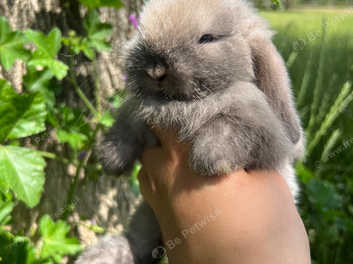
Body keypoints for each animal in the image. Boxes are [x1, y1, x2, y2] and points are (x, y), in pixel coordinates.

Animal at [75, 0, 304, 264]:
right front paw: (111, 160)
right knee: (138, 242)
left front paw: (210, 159)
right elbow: (125, 127)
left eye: (207, 38)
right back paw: (100, 255)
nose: (155, 70)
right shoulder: (136, 115)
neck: (181, 103)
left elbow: (228, 126)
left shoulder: (258, 130)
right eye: (141, 32)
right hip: (146, 214)